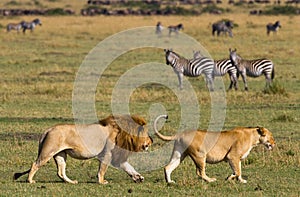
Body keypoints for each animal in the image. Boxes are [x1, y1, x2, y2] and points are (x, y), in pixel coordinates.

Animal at [13, 114, 152, 184]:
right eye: (146, 132)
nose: (152, 141)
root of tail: (48, 129)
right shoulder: (107, 153)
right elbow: (102, 169)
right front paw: (102, 181)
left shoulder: (115, 156)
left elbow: (128, 167)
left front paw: (138, 177)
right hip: (48, 151)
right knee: (35, 164)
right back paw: (30, 180)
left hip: (60, 154)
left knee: (60, 172)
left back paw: (72, 182)